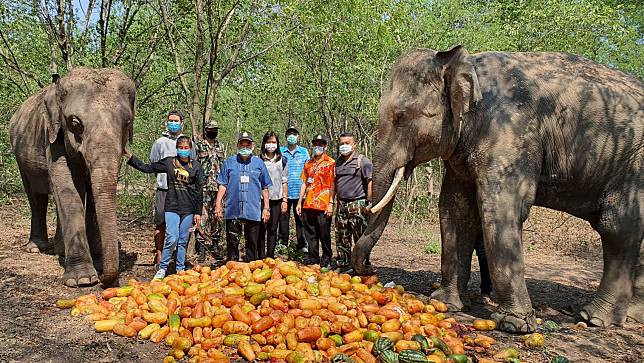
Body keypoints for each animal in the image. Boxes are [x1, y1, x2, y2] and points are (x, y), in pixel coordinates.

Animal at [9, 67, 134, 288]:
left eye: (127, 123)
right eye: (75, 122)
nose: (105, 279)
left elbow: (92, 194)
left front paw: (98, 260)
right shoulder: (52, 137)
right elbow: (67, 190)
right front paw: (82, 279)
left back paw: (60, 250)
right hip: (20, 157)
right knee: (36, 197)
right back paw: (36, 247)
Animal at [352, 44, 644, 332]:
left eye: (400, 117)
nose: (369, 268)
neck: (466, 65)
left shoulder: (510, 132)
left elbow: (501, 207)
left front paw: (514, 324)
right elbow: (455, 209)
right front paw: (445, 303)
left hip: (633, 164)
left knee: (617, 226)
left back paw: (594, 318)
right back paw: (632, 315)